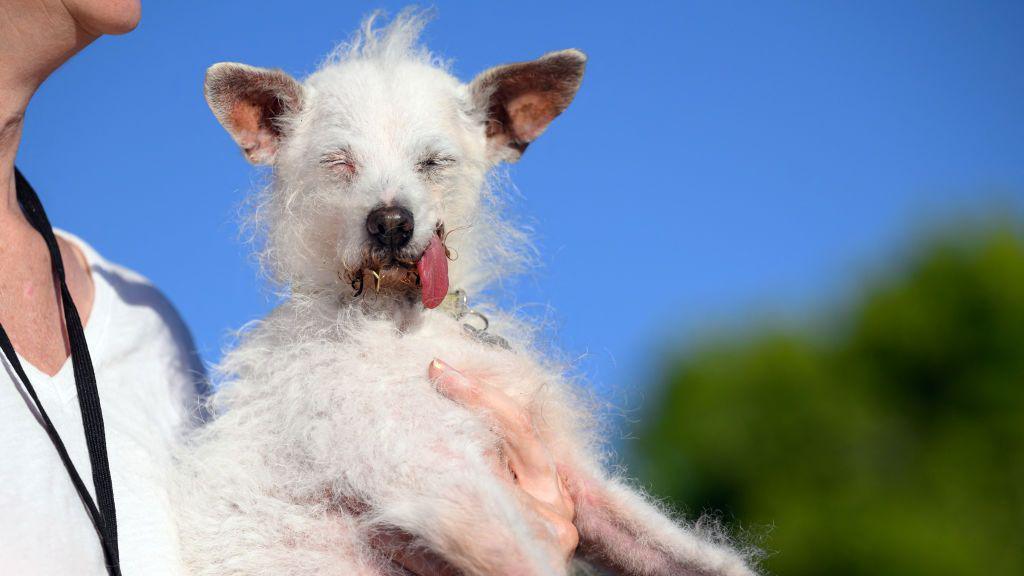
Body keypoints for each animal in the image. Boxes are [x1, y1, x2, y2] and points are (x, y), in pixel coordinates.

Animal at [174, 8, 753, 573]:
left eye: (434, 162)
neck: (402, 318)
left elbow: (688, 554)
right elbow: (525, 556)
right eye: (339, 162)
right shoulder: (432, 476)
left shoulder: (568, 473)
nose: (391, 223)